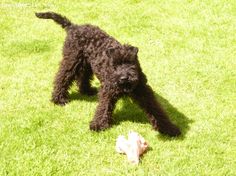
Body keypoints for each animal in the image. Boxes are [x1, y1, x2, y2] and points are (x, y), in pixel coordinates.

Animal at [35, 11, 181, 137]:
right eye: (114, 64)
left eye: (130, 62)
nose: (124, 78)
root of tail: (73, 27)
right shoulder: (108, 91)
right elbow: (103, 107)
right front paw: (98, 124)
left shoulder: (144, 92)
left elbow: (157, 110)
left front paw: (169, 128)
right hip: (72, 61)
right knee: (62, 77)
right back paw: (59, 99)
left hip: (87, 64)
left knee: (82, 77)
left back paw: (87, 91)